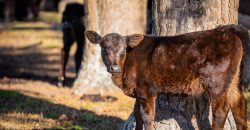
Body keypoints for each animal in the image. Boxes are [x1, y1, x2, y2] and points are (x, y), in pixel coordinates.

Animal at [86, 24, 250, 130]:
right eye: (104, 50)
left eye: (123, 51)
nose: (114, 68)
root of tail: (227, 30)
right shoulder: (138, 90)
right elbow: (137, 115)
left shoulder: (147, 89)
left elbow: (147, 116)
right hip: (234, 80)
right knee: (239, 103)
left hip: (217, 82)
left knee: (221, 110)